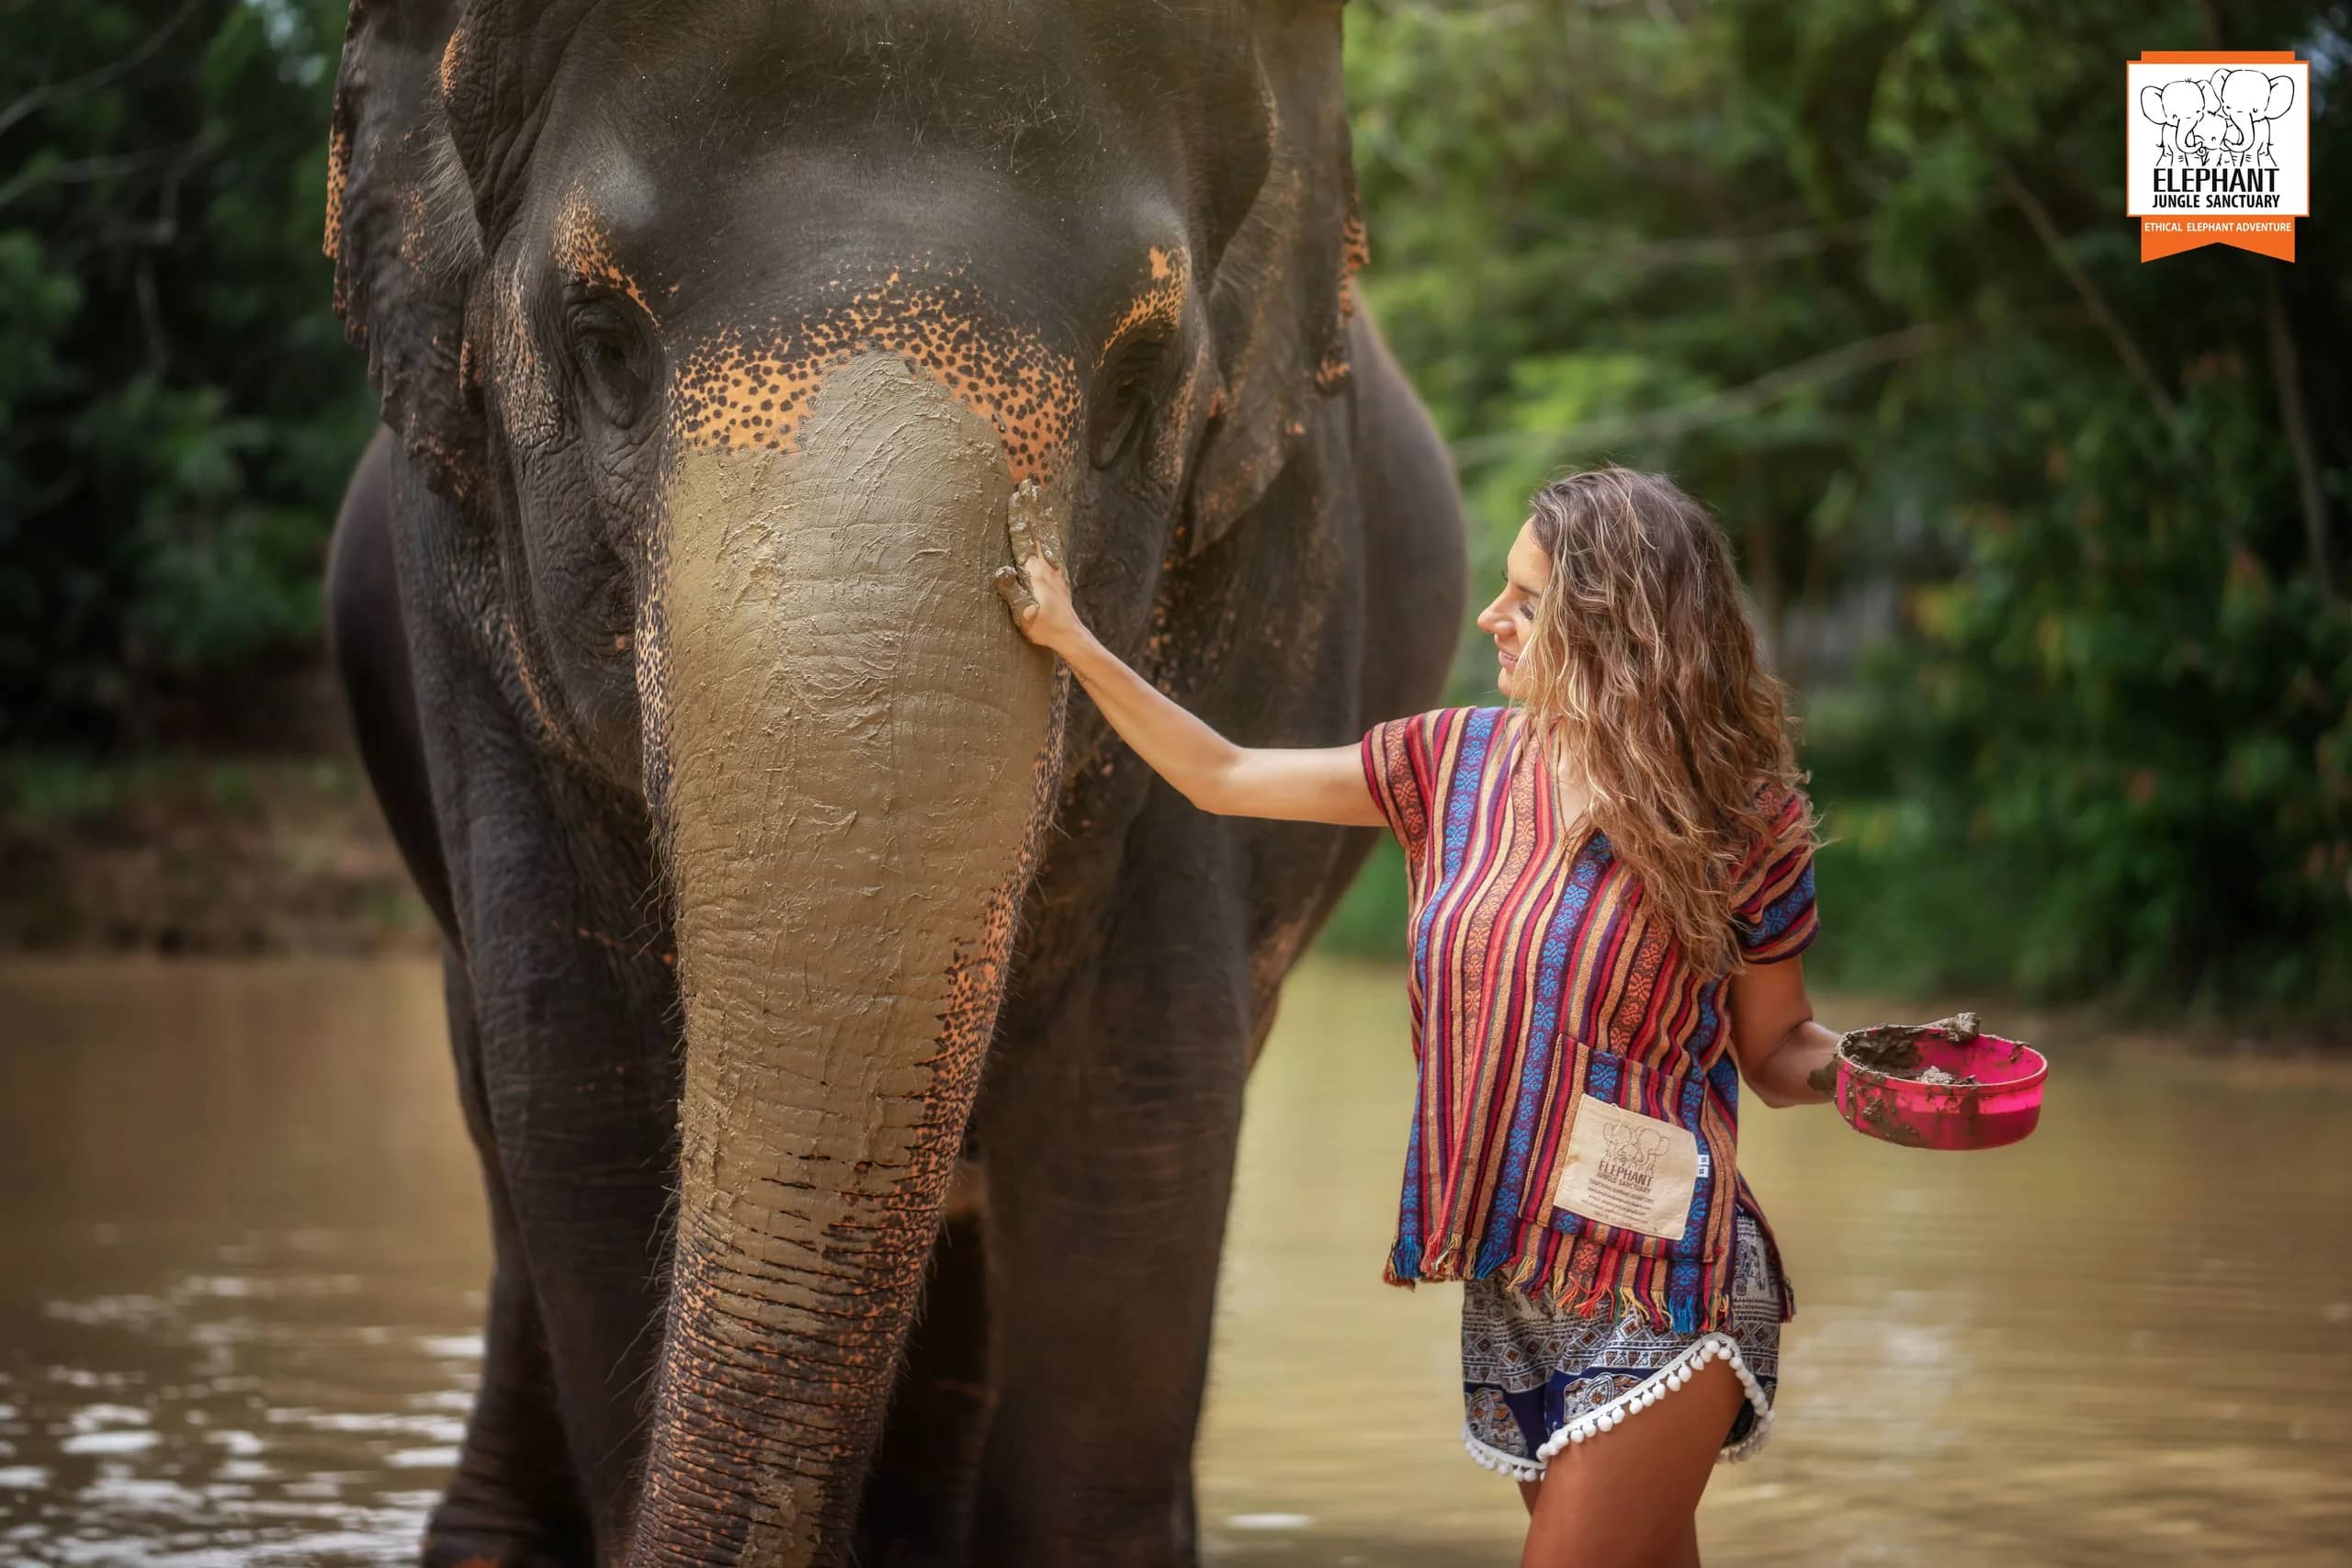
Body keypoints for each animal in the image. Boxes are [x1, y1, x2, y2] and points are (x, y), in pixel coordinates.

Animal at [320, 2, 1465, 1566]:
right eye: (603, 341)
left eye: (1139, 387)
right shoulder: (465, 620)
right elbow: (578, 1090)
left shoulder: (1268, 583)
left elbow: (1136, 1108)